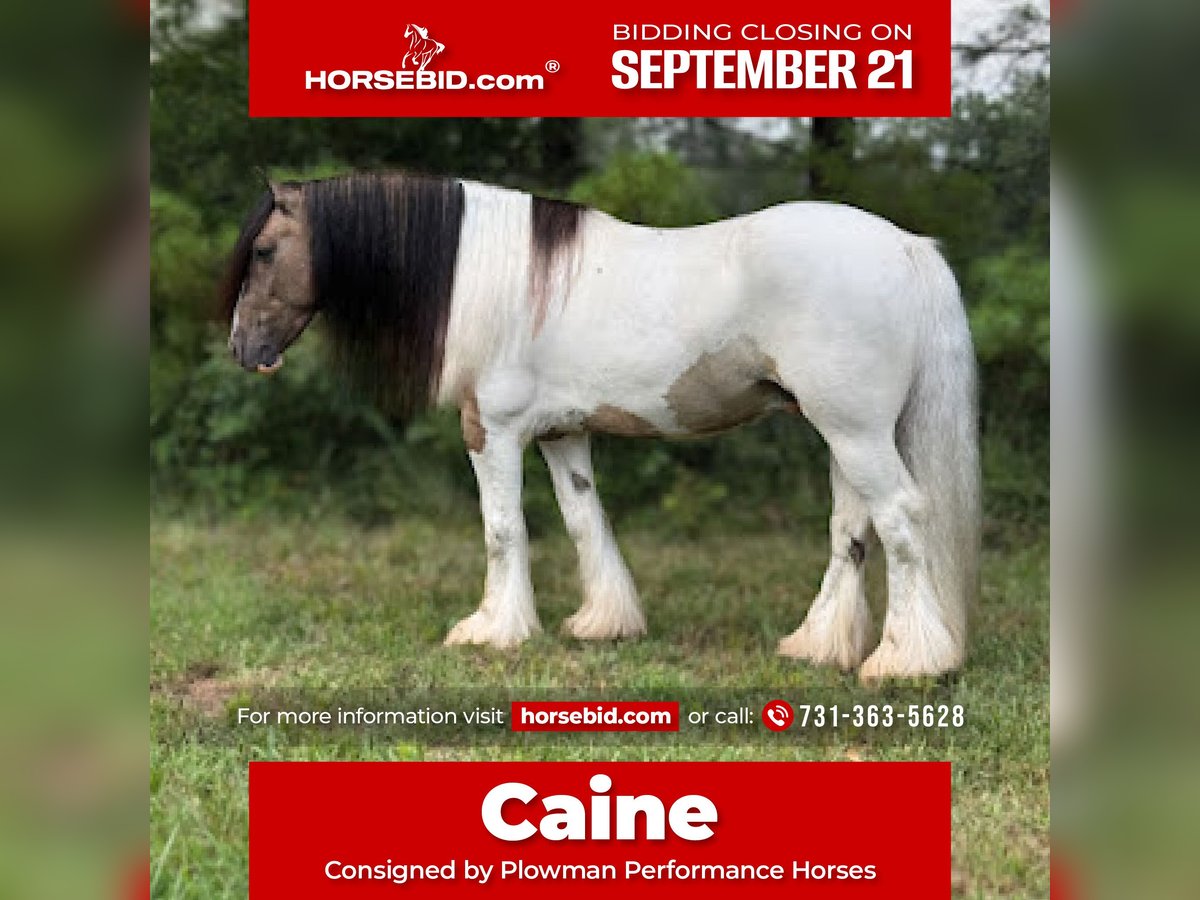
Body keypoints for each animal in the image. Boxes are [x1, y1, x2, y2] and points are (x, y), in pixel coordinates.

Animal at [221, 172, 980, 681]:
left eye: (264, 251)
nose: (242, 350)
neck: (496, 278)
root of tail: (906, 247)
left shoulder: (491, 430)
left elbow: (503, 530)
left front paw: (492, 631)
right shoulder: (561, 433)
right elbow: (585, 520)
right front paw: (603, 624)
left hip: (855, 431)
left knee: (901, 518)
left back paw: (905, 661)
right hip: (842, 432)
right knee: (851, 531)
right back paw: (819, 645)